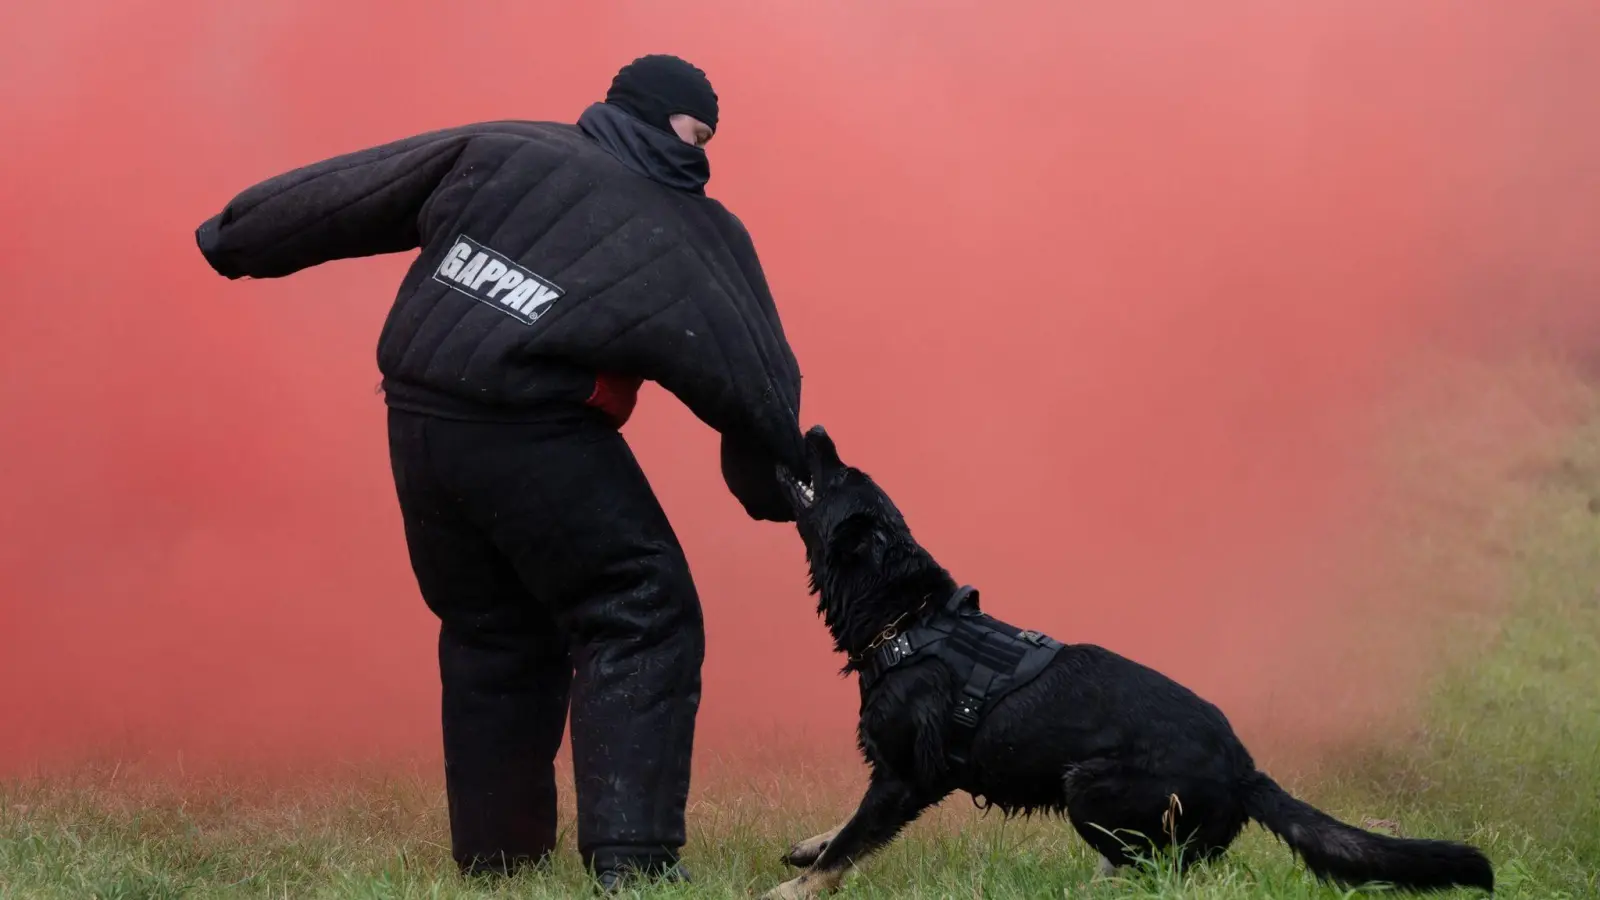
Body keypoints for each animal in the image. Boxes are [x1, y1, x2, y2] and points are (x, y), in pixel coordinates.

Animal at [755, 422, 1491, 890]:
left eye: (839, 475)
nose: (813, 426)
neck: (908, 617)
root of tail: (1244, 767)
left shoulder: (906, 780)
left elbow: (845, 850)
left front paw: (788, 890)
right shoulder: (890, 778)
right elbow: (840, 832)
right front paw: (807, 845)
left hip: (1087, 785)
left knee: (1158, 873)